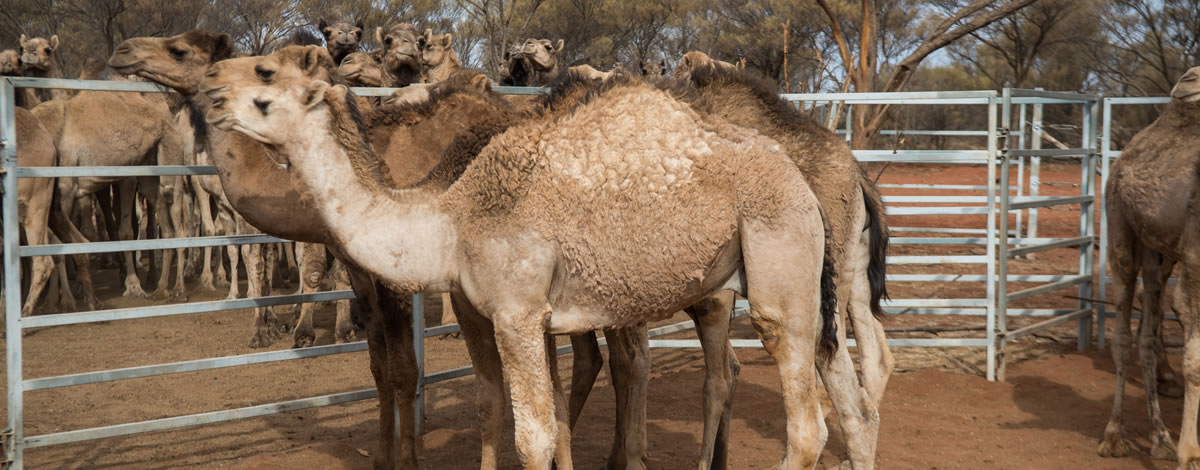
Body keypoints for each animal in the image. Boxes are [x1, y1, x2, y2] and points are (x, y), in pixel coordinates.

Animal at [203, 48, 838, 470]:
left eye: (265, 74)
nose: (211, 86)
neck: (449, 216)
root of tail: (801, 177)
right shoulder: (528, 318)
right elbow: (546, 421)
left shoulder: (517, 314)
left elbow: (532, 437)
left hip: (781, 258)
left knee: (806, 424)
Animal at [1100, 66, 1200, 467]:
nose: (1188, 80)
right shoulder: (1196, 259)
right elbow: (1195, 360)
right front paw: (1191, 455)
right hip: (1120, 230)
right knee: (1122, 337)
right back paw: (1114, 436)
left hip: (1158, 252)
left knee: (1148, 324)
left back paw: (1159, 438)